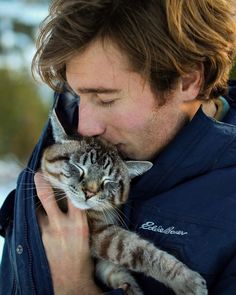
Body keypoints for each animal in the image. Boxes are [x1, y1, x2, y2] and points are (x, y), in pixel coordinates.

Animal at [39, 110, 207, 295]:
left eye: (108, 181)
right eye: (78, 168)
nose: (89, 193)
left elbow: (114, 271)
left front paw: (131, 289)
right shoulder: (101, 235)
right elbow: (140, 251)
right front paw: (187, 280)